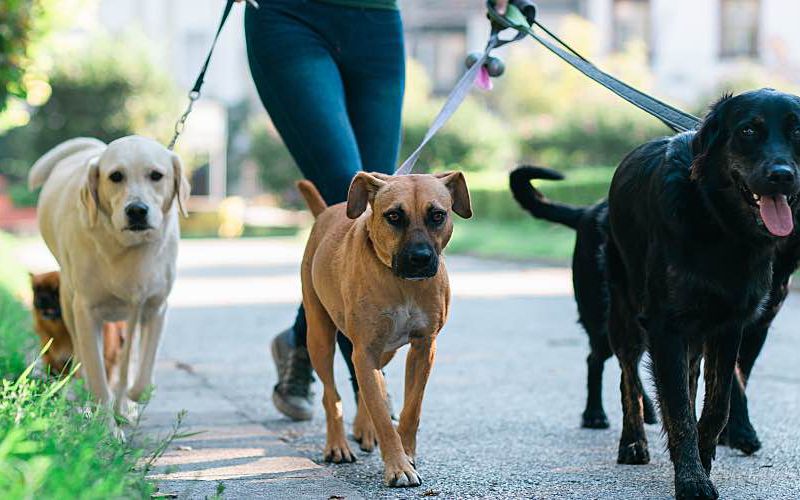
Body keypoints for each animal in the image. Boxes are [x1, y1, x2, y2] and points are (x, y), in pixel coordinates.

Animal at [28, 137, 189, 434]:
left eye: (156, 175)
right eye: (115, 176)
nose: (136, 210)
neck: (127, 248)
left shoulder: (155, 308)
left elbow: (140, 374)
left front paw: (133, 400)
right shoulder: (86, 312)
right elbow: (98, 378)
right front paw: (107, 429)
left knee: (127, 366)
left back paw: (125, 405)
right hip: (69, 305)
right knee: (83, 360)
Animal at [300, 171, 476, 484]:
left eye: (437, 215)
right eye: (393, 215)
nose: (420, 258)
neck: (402, 284)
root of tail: (325, 212)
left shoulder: (423, 348)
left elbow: (411, 408)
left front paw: (407, 453)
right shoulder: (365, 350)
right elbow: (382, 414)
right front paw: (398, 466)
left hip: (387, 351)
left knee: (368, 386)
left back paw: (364, 428)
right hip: (319, 338)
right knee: (331, 395)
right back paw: (337, 445)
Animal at [608, 91, 800, 500]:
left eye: (797, 131)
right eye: (748, 131)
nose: (782, 175)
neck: (719, 223)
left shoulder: (729, 325)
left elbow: (715, 404)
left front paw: (703, 458)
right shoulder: (665, 326)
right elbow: (679, 408)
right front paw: (692, 479)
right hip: (625, 315)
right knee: (628, 377)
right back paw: (632, 442)